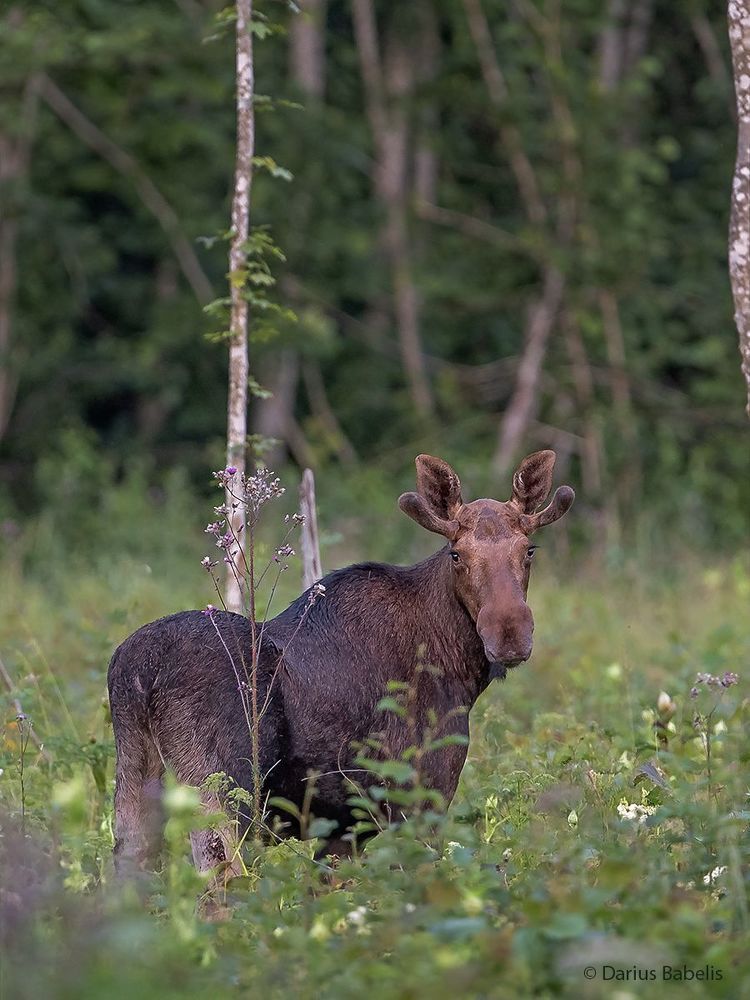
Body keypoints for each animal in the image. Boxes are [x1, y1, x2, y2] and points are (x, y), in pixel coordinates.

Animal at [107, 450, 574, 875]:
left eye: (529, 549)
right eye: (456, 554)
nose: (509, 632)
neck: (458, 668)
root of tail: (139, 672)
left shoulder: (345, 827)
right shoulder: (420, 798)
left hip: (135, 779)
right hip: (221, 790)